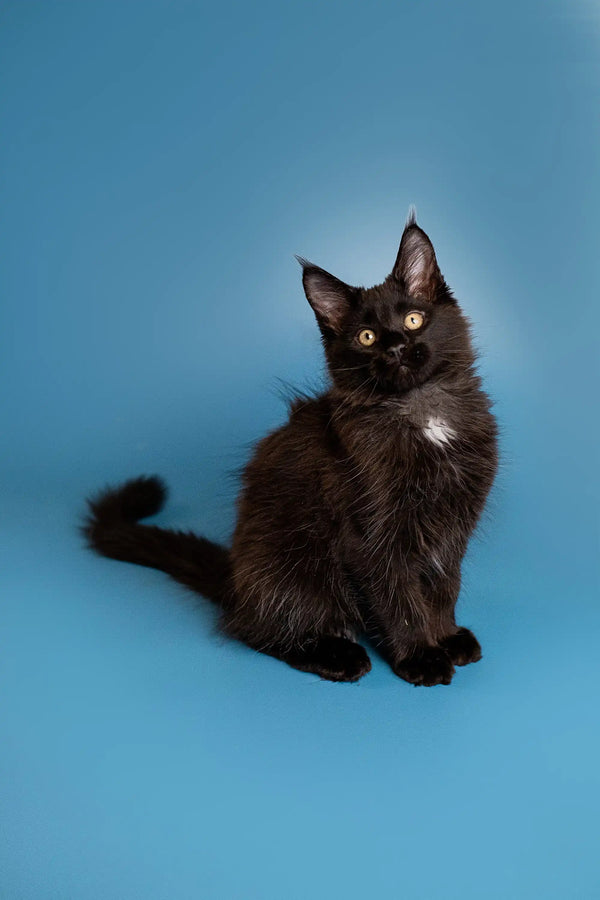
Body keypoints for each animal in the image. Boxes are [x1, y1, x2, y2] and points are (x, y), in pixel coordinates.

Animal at [84, 213, 496, 688]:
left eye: (413, 320)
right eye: (366, 337)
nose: (395, 348)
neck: (424, 415)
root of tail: (236, 580)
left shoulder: (453, 525)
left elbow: (444, 587)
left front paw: (445, 636)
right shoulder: (371, 535)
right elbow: (400, 600)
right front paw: (422, 656)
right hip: (296, 566)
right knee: (260, 630)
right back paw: (338, 654)